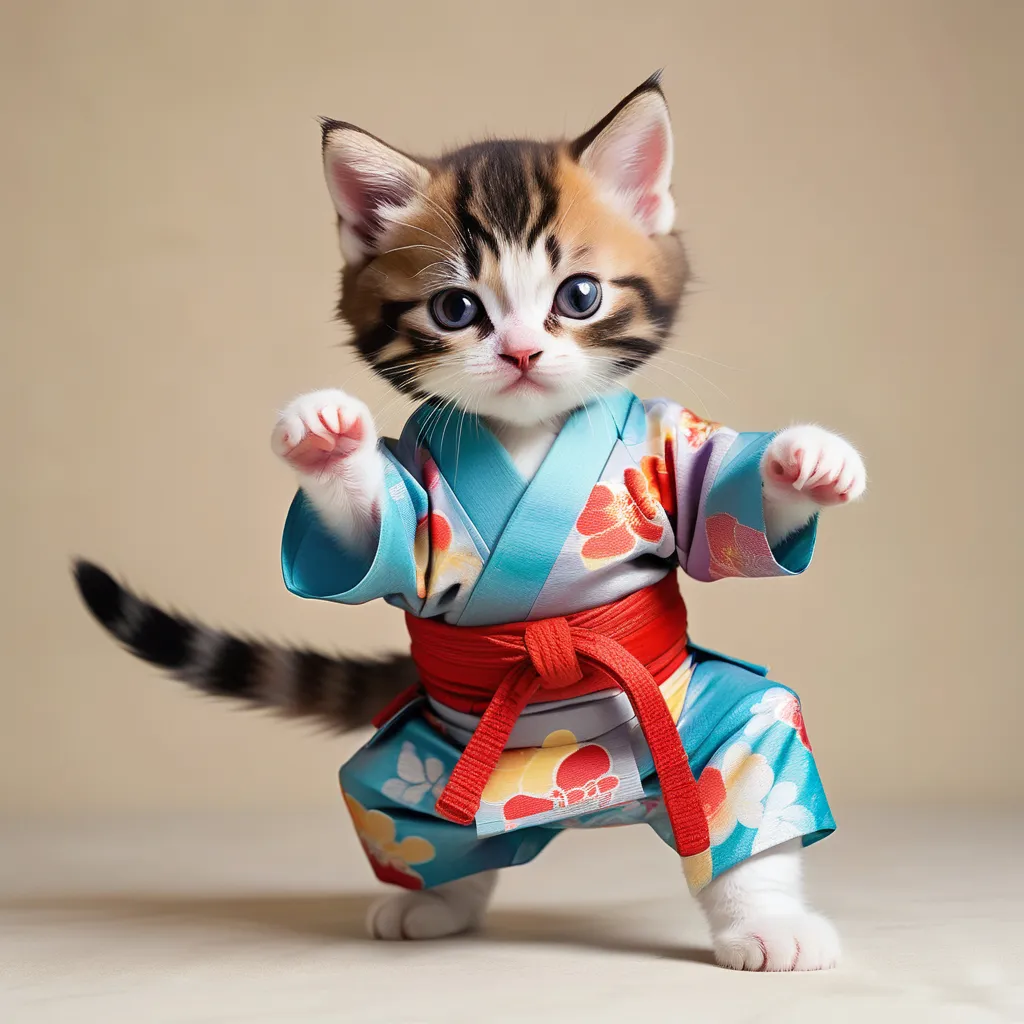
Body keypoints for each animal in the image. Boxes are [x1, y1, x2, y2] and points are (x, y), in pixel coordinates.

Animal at [77, 75, 864, 970]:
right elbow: (374, 532)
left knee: (749, 764)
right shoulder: (415, 504)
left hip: (698, 725)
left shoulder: (669, 455)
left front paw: (803, 464)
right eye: (456, 309)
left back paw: (765, 922)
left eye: (579, 297)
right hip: (418, 755)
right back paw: (434, 904)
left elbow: (716, 497)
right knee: (418, 825)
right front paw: (328, 444)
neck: (526, 434)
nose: (520, 352)